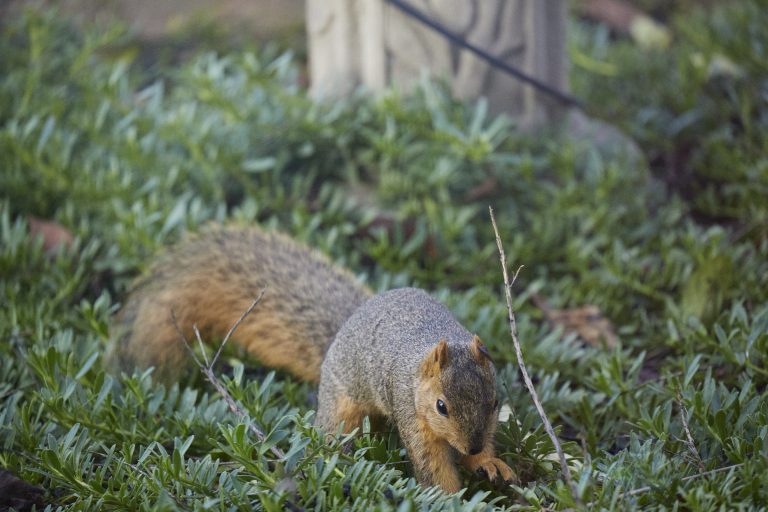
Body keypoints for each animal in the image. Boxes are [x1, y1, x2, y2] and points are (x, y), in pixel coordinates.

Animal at [108, 226, 515, 492]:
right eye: (441, 406)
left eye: (495, 401)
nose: (472, 445)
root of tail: (345, 327)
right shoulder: (409, 411)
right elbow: (432, 469)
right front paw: (453, 498)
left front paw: (487, 462)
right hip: (341, 407)